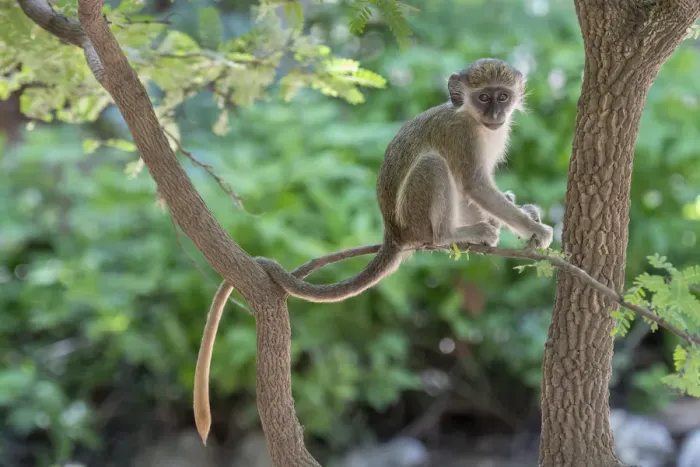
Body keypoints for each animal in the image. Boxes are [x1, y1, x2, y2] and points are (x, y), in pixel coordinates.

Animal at [193, 59, 554, 444]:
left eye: (503, 96)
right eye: (483, 97)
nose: (496, 113)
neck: (472, 119)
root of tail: (394, 233)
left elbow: (476, 191)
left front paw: (526, 214)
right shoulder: (462, 138)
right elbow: (475, 185)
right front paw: (534, 228)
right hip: (415, 217)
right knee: (435, 166)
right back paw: (452, 235)